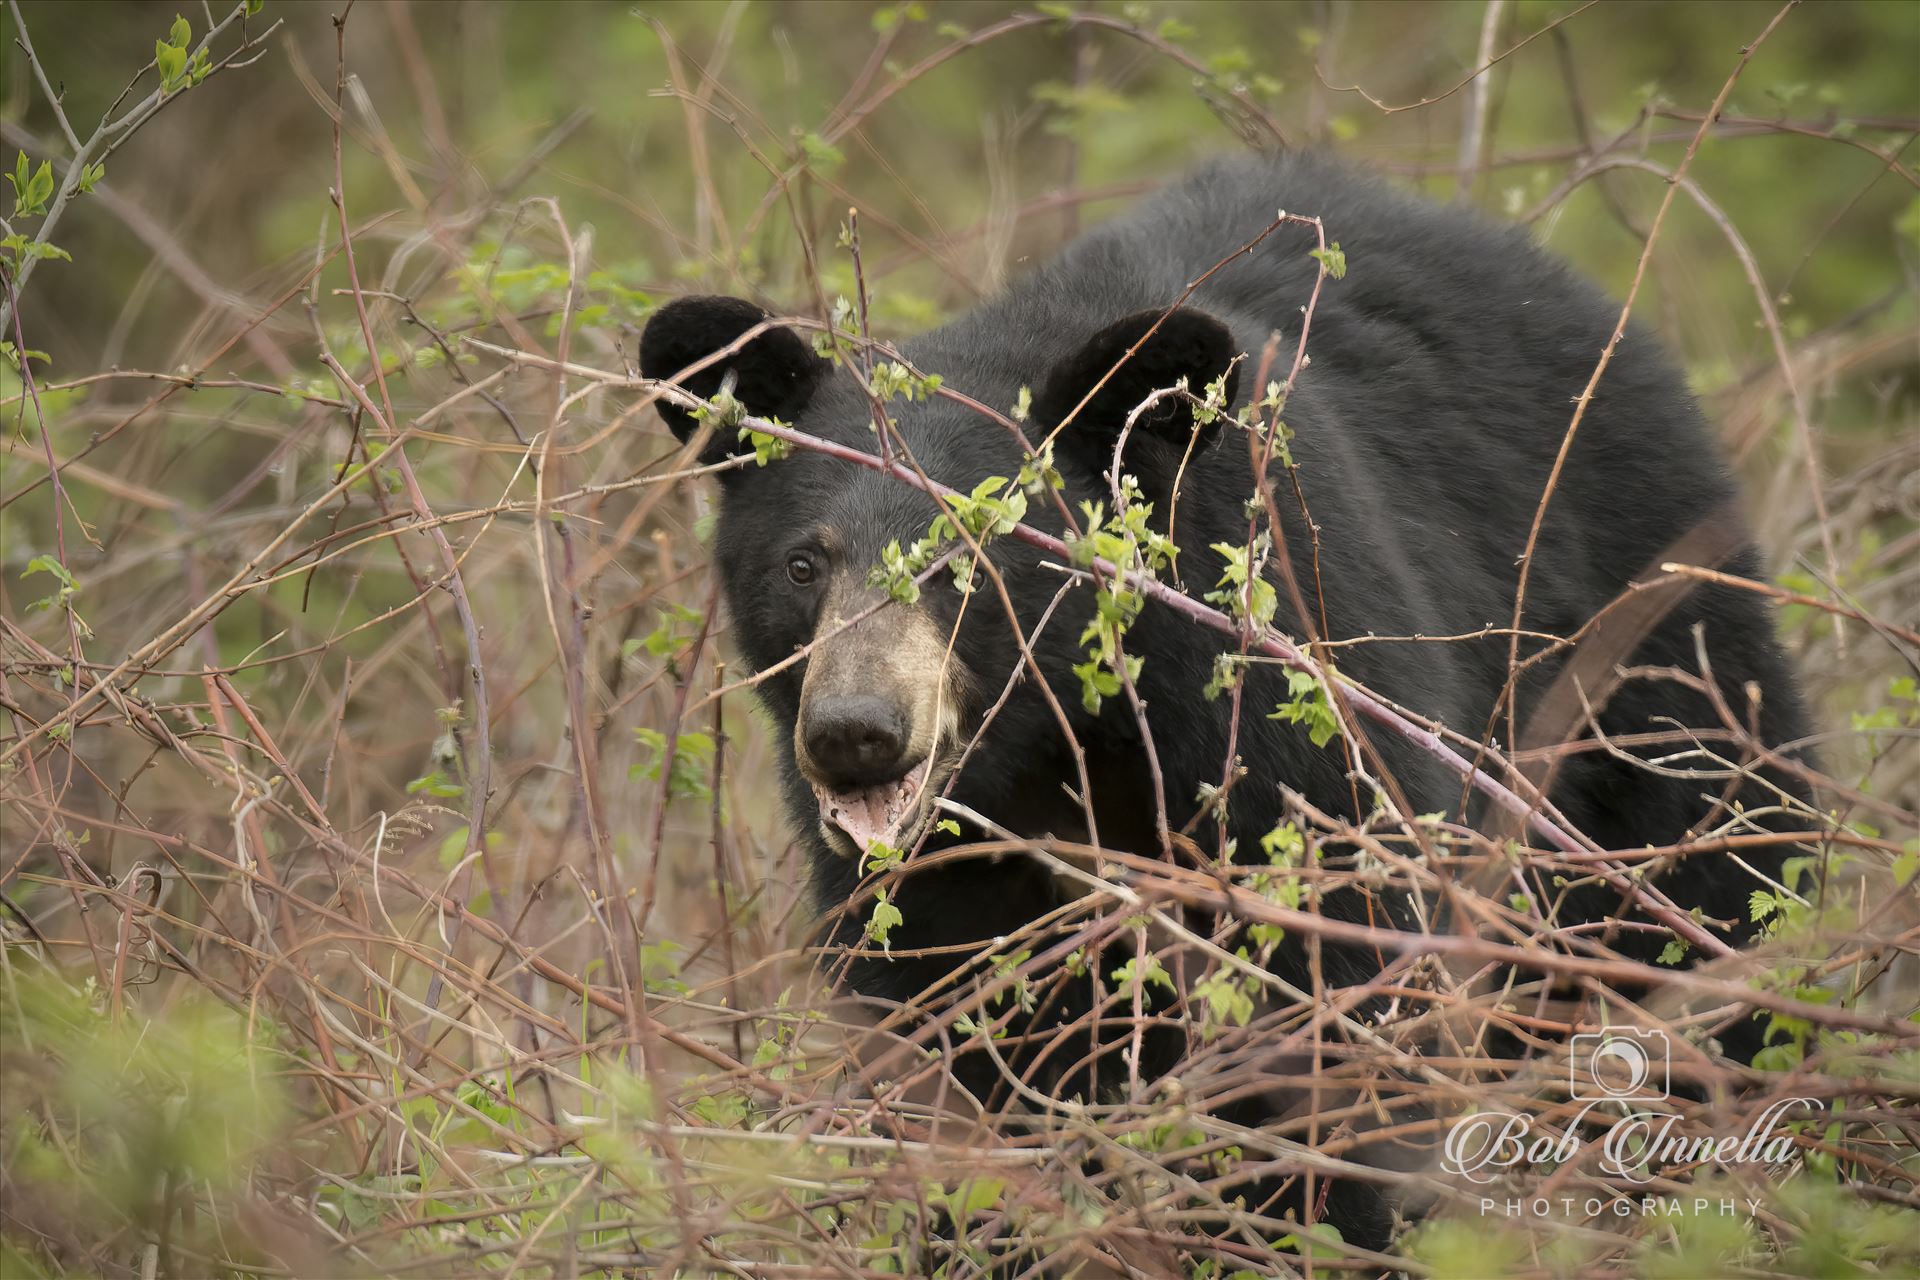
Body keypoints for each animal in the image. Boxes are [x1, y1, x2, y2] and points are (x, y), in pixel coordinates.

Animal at [641, 152, 1812, 1258]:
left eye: (973, 561)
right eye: (803, 565)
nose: (855, 735)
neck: (1063, 748)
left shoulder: (1290, 708)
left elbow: (1338, 1002)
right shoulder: (941, 878)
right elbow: (953, 1037)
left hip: (1647, 651)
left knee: (1711, 884)